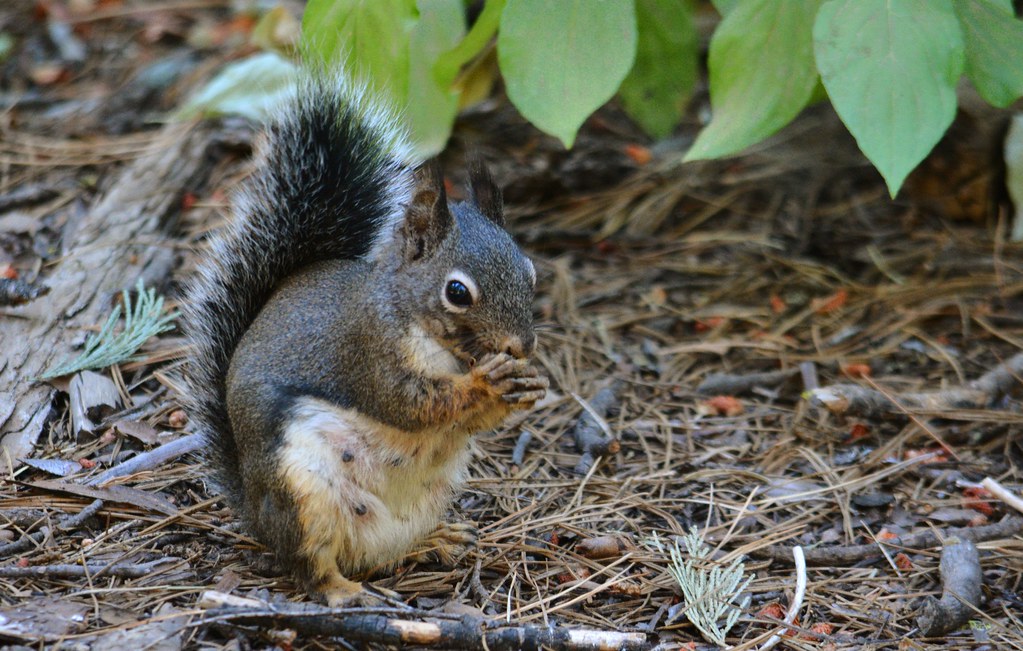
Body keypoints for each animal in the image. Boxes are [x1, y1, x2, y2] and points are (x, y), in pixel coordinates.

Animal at [181, 72, 548, 605]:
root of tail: (253, 510)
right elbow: (409, 404)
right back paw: (343, 592)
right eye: (457, 292)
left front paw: (528, 385)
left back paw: (438, 540)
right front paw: (486, 383)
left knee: (383, 553)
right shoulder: (369, 350)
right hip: (302, 492)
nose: (521, 347)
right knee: (310, 564)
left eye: (530, 272)